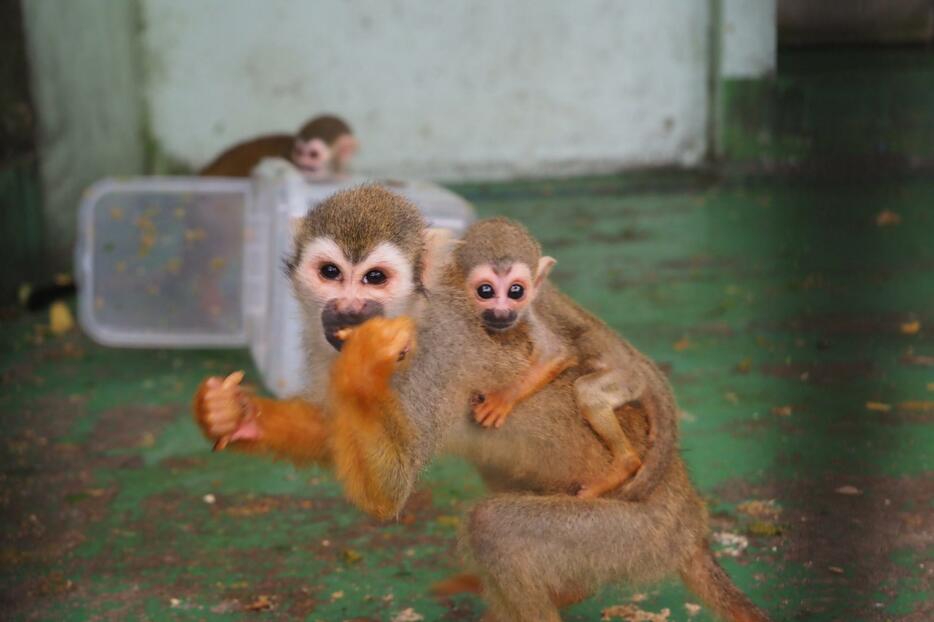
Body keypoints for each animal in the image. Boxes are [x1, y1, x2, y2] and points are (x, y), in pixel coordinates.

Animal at [458, 219, 664, 502]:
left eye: (516, 291)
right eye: (485, 291)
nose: (502, 313)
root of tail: (638, 366)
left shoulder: (532, 312)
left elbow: (557, 352)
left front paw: (503, 398)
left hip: (627, 380)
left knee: (588, 390)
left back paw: (625, 464)